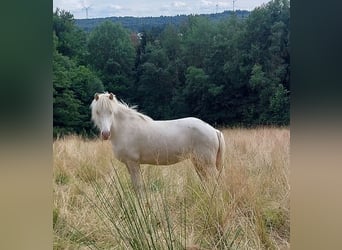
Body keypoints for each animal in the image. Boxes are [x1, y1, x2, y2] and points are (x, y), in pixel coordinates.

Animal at [89, 92, 226, 193]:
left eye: (111, 112)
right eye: (98, 112)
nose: (105, 134)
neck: (125, 128)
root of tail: (213, 130)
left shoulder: (133, 163)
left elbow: (138, 187)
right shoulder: (129, 164)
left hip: (207, 164)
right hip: (198, 162)